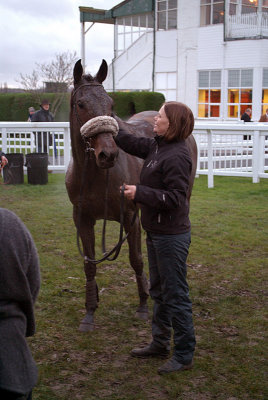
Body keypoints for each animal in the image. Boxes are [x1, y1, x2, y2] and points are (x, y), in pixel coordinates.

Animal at [66, 59, 198, 332]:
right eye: (81, 104)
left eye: (111, 104)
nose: (107, 154)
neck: (94, 175)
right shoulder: (82, 219)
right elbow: (89, 263)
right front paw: (90, 311)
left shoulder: (129, 217)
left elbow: (136, 259)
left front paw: (143, 306)